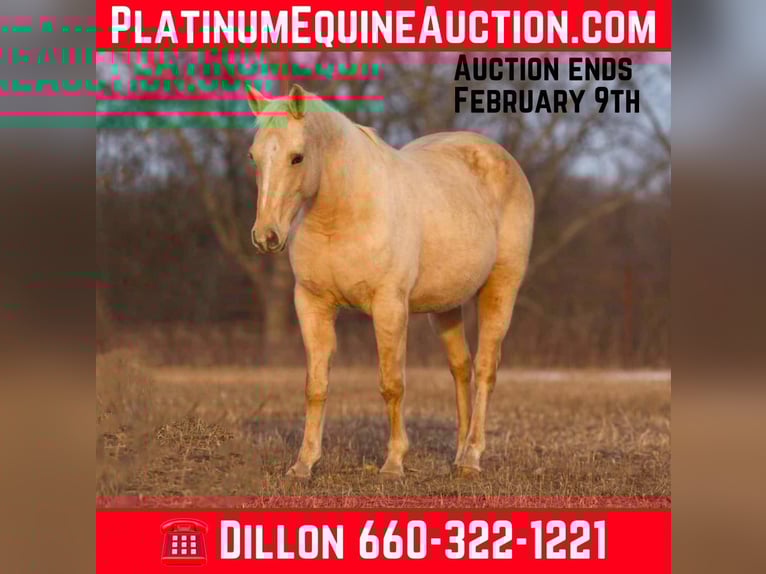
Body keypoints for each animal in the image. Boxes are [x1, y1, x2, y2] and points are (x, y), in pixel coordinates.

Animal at [246, 84, 534, 479]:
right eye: (254, 157)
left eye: (297, 157)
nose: (266, 236)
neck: (343, 214)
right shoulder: (312, 304)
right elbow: (315, 386)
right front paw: (303, 464)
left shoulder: (389, 306)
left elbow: (392, 384)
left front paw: (394, 462)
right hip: (445, 306)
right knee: (461, 368)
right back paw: (459, 455)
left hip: (500, 289)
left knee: (486, 369)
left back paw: (472, 457)